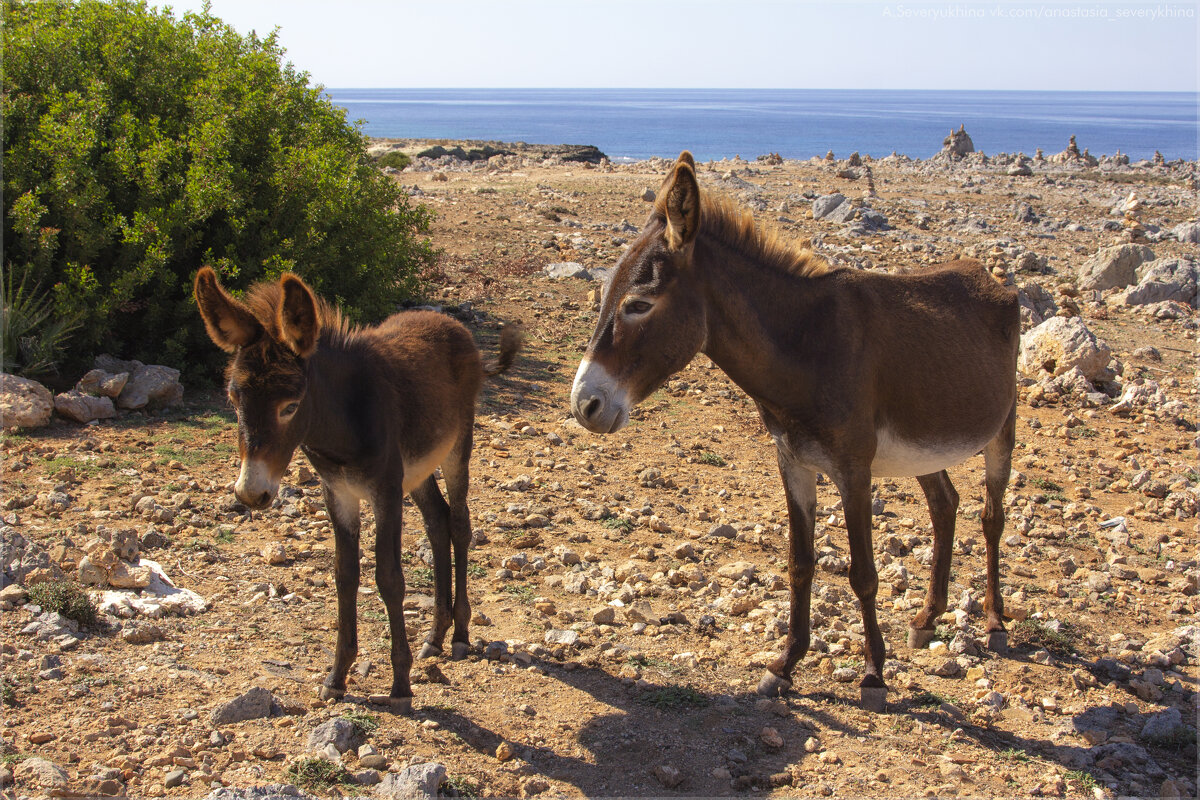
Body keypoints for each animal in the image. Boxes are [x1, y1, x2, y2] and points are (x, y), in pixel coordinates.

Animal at [194, 268, 518, 714]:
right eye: (233, 398)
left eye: (290, 406)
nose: (250, 494)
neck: (342, 424)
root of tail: (449, 323)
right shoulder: (339, 493)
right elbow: (344, 575)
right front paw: (336, 677)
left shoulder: (385, 492)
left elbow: (389, 577)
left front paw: (400, 686)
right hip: (416, 470)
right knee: (437, 521)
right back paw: (435, 636)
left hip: (457, 447)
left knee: (459, 524)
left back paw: (459, 635)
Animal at [566, 149, 1017, 705]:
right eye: (606, 293)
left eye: (639, 304)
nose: (583, 404)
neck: (808, 347)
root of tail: (986, 275)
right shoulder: (794, 461)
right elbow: (799, 563)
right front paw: (784, 665)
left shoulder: (854, 470)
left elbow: (863, 574)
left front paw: (873, 674)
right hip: (925, 446)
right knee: (945, 505)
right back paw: (927, 618)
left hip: (1002, 429)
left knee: (992, 517)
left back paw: (995, 622)